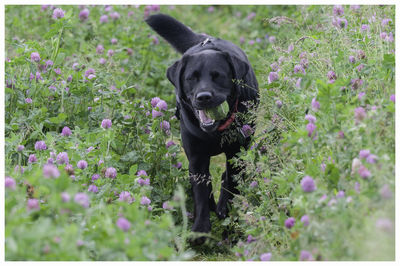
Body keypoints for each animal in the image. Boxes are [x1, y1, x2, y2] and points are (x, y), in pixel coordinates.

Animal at [145, 12, 258, 237]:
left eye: (218, 76)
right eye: (191, 78)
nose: (203, 96)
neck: (215, 132)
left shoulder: (236, 151)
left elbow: (231, 182)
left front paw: (225, 209)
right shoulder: (196, 157)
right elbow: (200, 191)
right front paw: (199, 229)